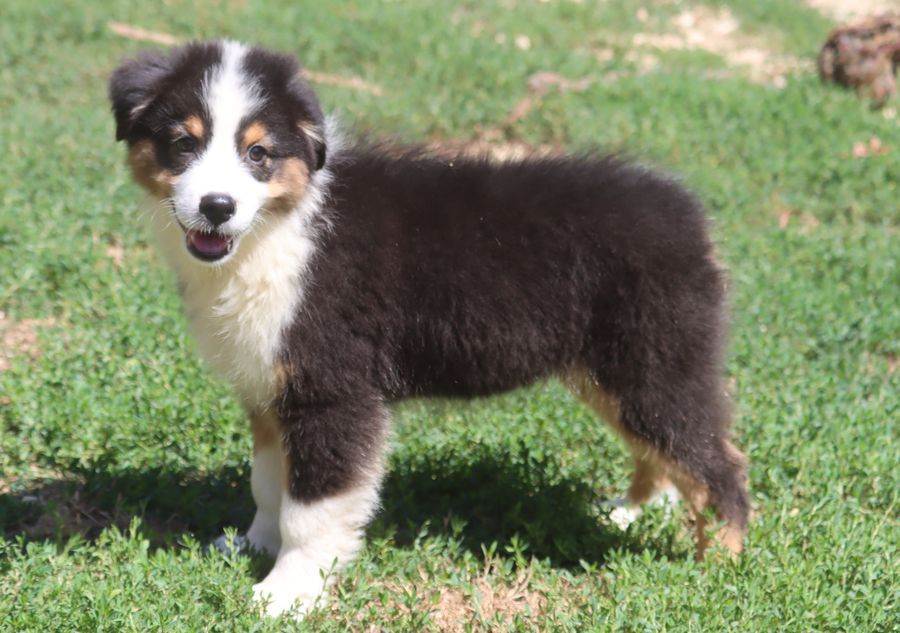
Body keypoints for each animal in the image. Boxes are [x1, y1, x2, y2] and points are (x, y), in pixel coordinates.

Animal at [109, 40, 749, 617]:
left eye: (259, 153)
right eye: (184, 143)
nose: (217, 207)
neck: (281, 227)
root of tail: (688, 212)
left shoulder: (333, 389)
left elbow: (311, 507)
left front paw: (286, 593)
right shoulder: (269, 386)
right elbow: (270, 483)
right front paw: (254, 545)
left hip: (654, 360)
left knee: (719, 464)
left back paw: (722, 570)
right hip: (612, 371)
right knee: (665, 450)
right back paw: (627, 511)